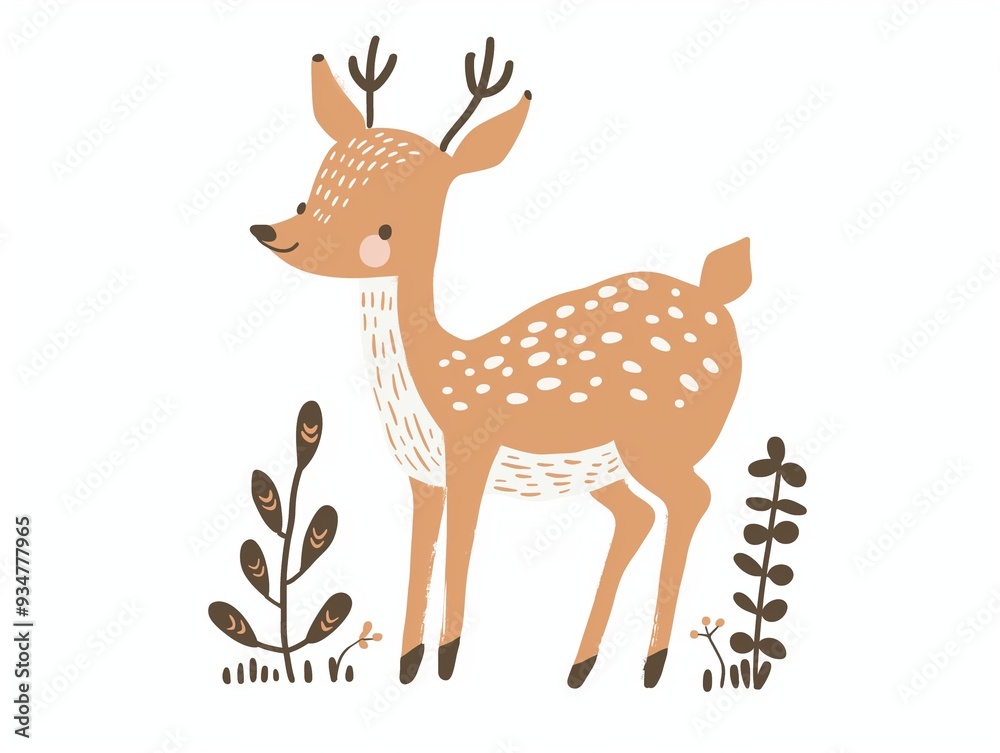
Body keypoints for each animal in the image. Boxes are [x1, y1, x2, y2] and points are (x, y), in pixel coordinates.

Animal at [248, 37, 751, 688]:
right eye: (310, 193)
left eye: (384, 228)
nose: (275, 233)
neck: (434, 384)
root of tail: (718, 294)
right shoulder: (422, 476)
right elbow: (421, 558)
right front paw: (407, 664)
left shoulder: (471, 453)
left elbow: (459, 553)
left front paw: (447, 661)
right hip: (604, 468)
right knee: (639, 515)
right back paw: (580, 664)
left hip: (660, 440)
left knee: (692, 500)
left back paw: (652, 663)